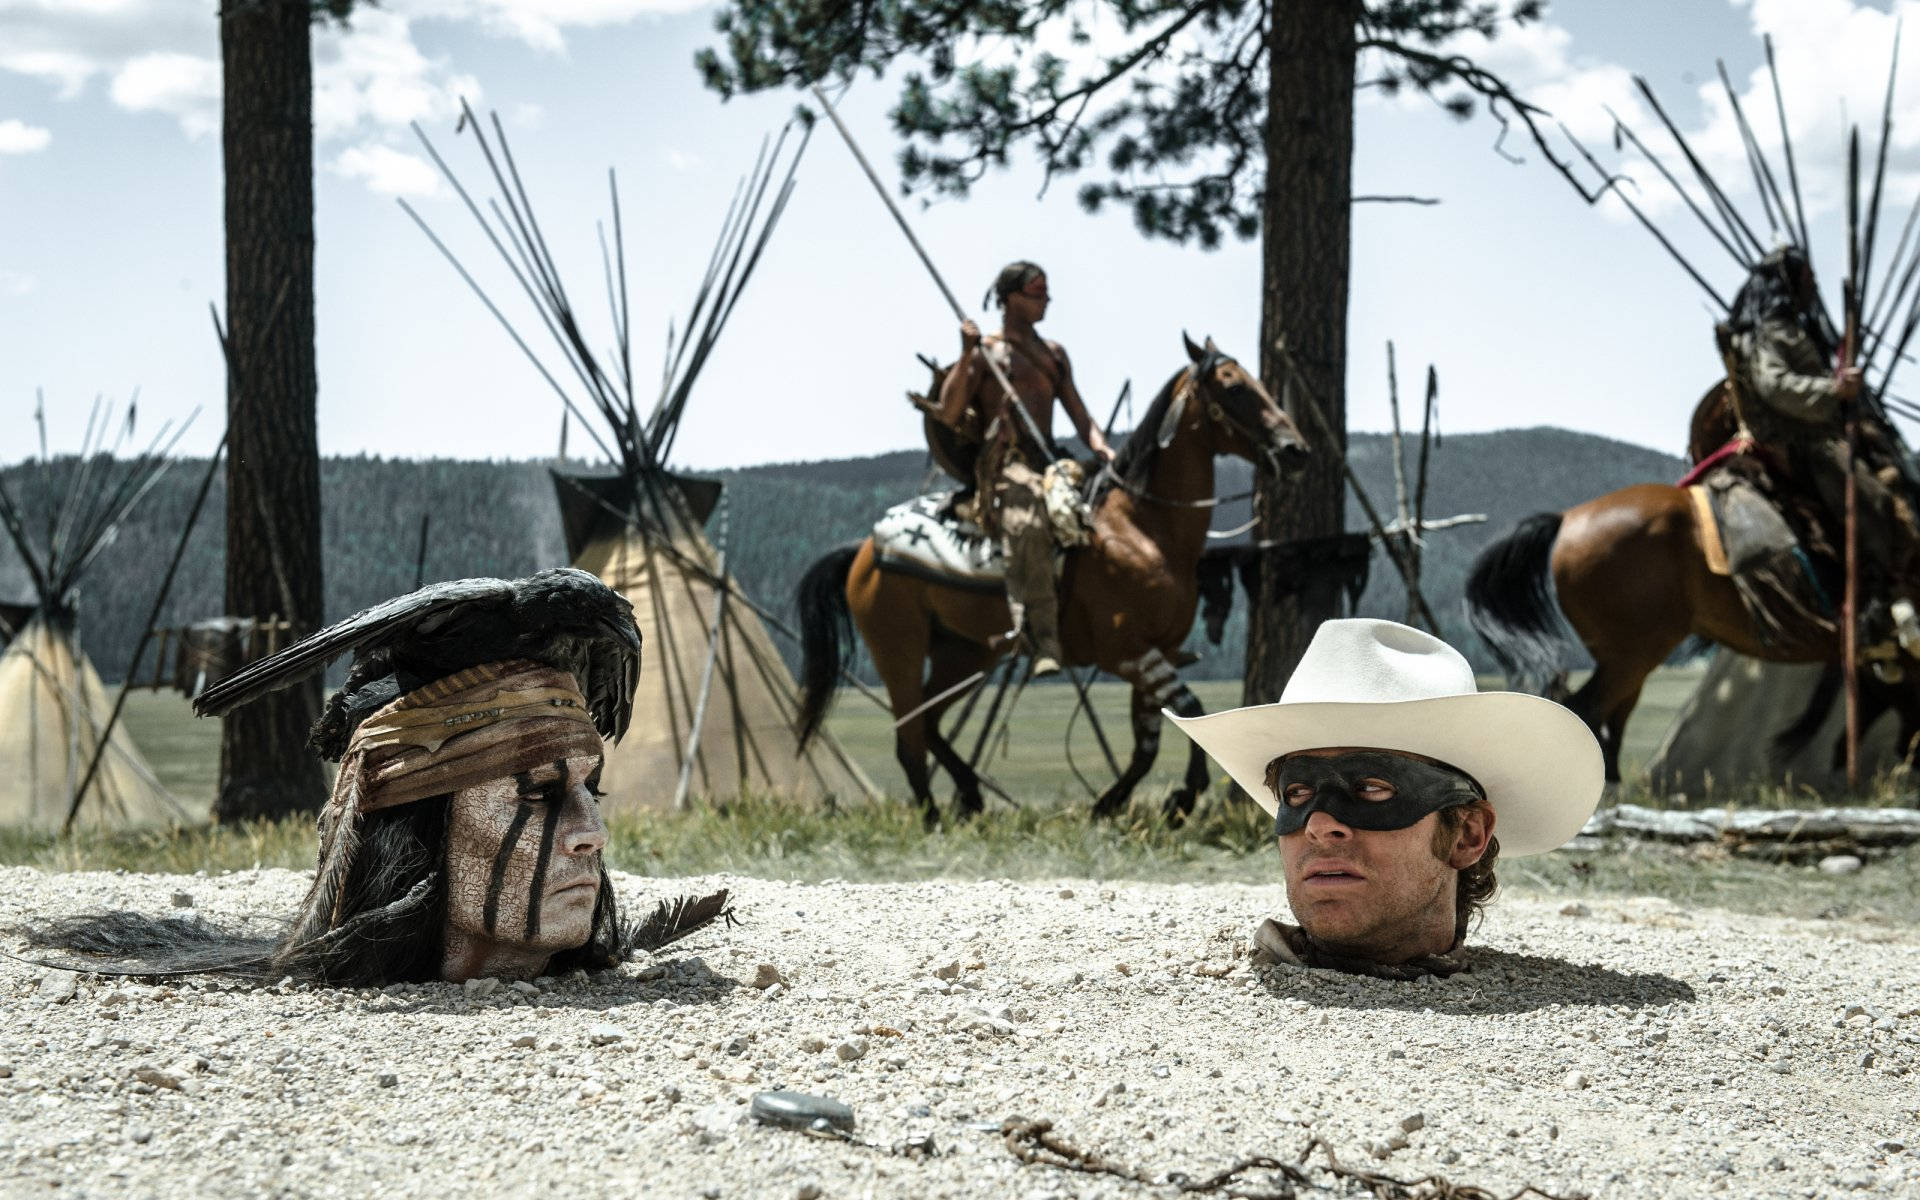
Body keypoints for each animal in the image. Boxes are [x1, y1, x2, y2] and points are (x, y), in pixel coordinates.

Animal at [791, 337, 1305, 821]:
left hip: (965, 653)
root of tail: (863, 549)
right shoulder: (1127, 653)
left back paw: (971, 796)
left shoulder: (1155, 652)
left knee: (931, 725)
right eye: (1234, 386)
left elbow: (1148, 743)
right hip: (899, 648)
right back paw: (934, 816)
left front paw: (1114, 805)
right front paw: (1178, 800)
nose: (1295, 450)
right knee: (910, 738)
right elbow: (1191, 711)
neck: (1141, 528)